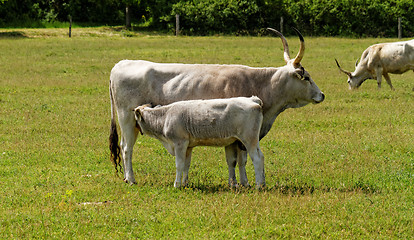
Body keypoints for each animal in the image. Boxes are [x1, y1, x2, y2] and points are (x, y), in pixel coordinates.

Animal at [134, 96, 266, 188]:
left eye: (136, 119)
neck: (165, 116)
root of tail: (253, 99)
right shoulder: (188, 146)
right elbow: (186, 165)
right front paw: (185, 183)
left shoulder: (179, 143)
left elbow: (179, 164)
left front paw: (177, 184)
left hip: (250, 139)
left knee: (258, 158)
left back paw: (259, 185)